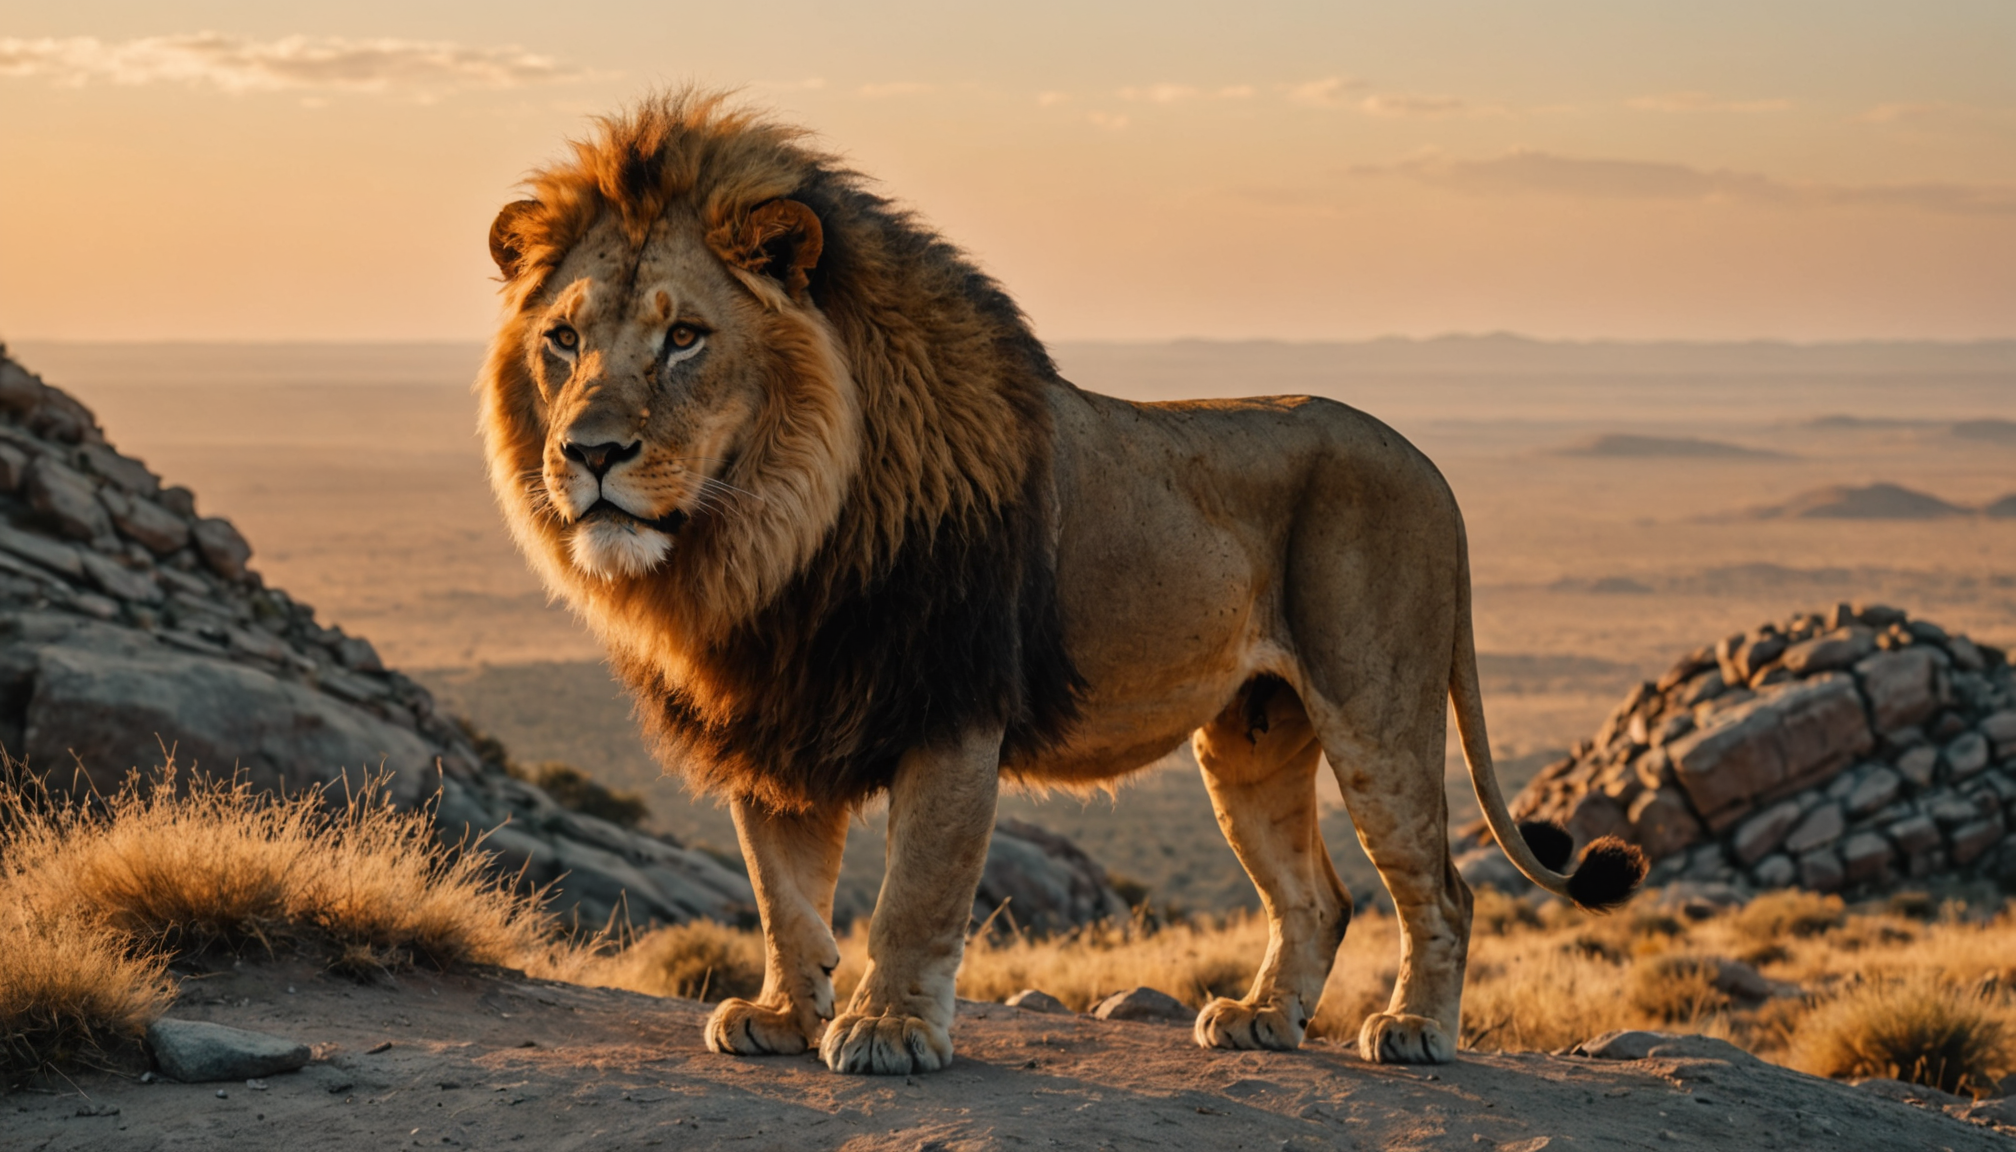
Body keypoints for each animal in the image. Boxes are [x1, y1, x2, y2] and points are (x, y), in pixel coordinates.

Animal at [477, 92, 1645, 1076]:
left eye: (684, 337)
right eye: (564, 339)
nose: (589, 454)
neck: (771, 542)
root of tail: (1427, 464)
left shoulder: (952, 709)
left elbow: (914, 896)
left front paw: (888, 1032)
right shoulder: (776, 717)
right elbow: (784, 898)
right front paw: (781, 1017)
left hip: (1378, 713)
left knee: (1440, 889)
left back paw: (1414, 1030)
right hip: (1254, 736)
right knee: (1317, 898)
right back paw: (1263, 1021)